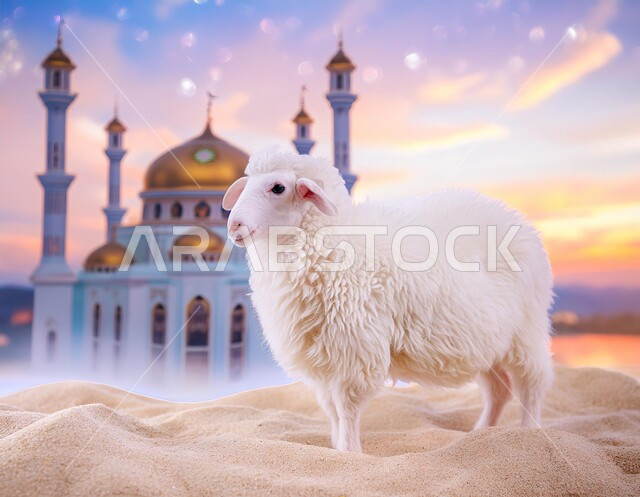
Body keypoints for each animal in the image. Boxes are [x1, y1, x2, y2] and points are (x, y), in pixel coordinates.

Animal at [222, 148, 554, 453]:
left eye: (278, 187)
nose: (234, 226)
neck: (338, 240)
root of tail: (515, 218)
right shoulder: (321, 354)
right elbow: (330, 408)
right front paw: (336, 447)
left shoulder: (355, 350)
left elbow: (347, 407)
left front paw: (350, 452)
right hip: (487, 343)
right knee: (499, 391)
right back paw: (483, 432)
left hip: (526, 331)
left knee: (532, 384)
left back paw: (531, 432)